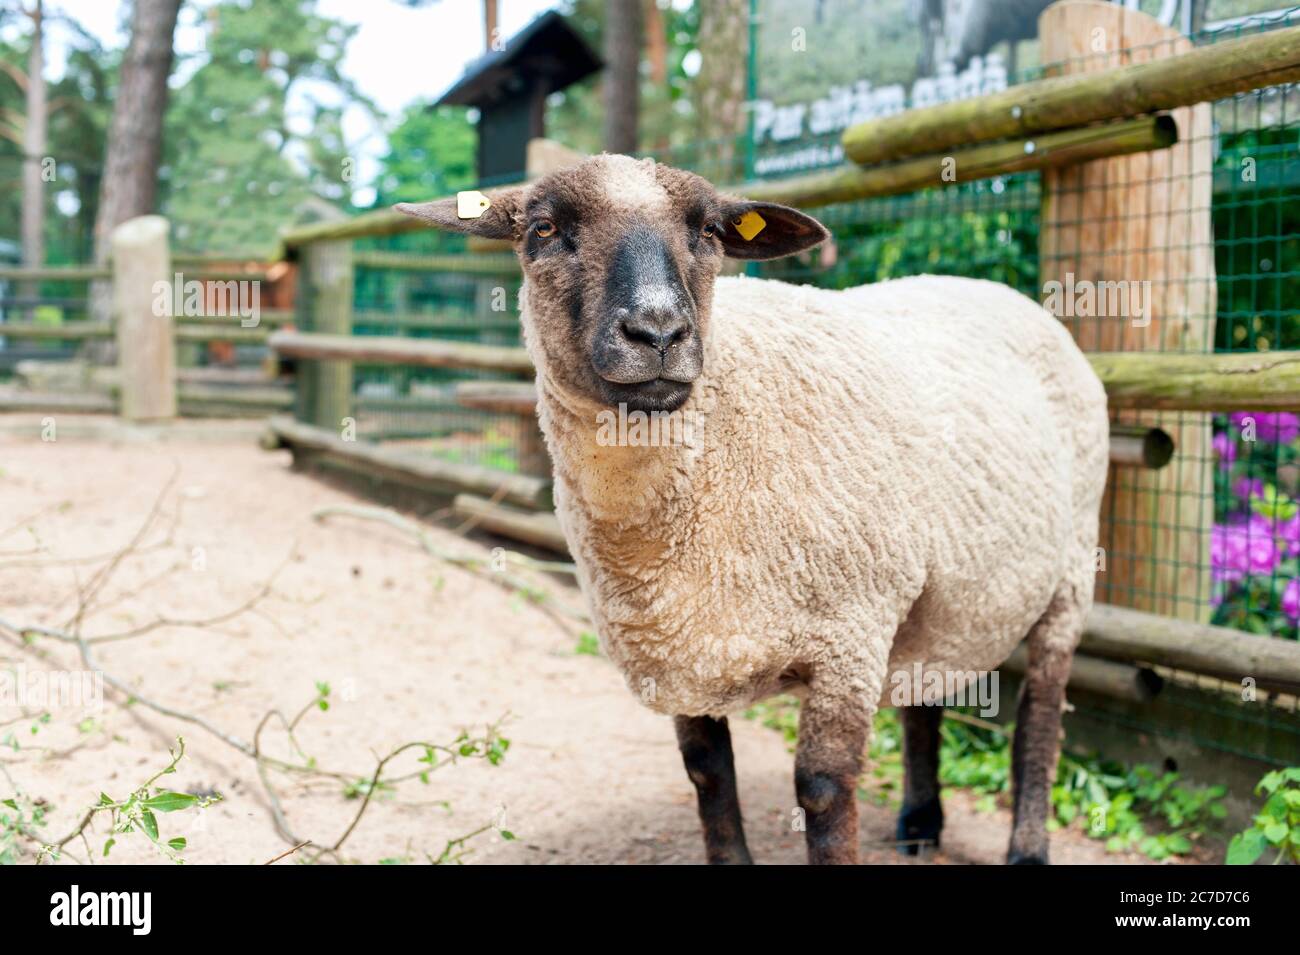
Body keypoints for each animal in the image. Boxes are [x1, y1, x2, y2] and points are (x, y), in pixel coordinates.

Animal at [397, 153, 1110, 865]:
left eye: (710, 231)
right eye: (543, 229)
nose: (659, 332)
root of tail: (1001, 293)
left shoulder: (849, 634)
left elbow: (823, 789)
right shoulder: (680, 637)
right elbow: (709, 773)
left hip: (1071, 567)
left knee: (1041, 714)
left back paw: (1026, 846)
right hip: (945, 586)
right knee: (925, 690)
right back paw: (919, 822)